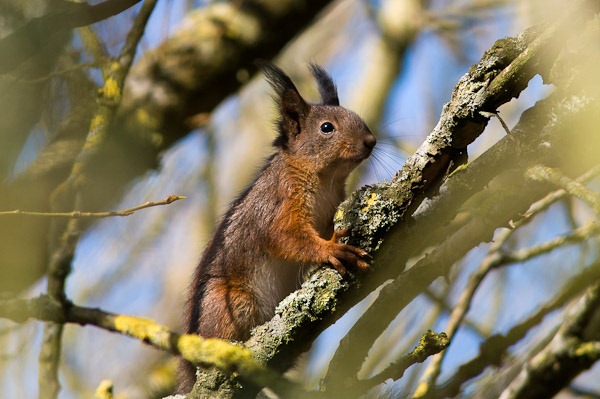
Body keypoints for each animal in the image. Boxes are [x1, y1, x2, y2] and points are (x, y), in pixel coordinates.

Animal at [178, 64, 376, 392]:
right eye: (326, 128)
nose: (370, 141)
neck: (324, 179)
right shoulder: (278, 205)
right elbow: (287, 237)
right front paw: (330, 249)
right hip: (233, 303)